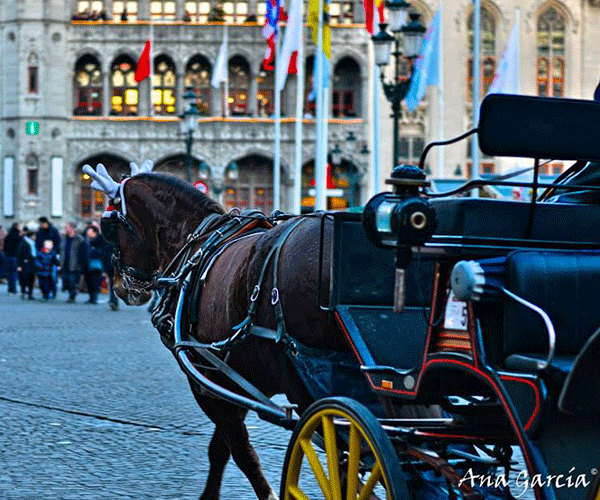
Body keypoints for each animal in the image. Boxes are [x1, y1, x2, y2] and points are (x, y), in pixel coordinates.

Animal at [83, 165, 436, 500]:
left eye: (109, 226)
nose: (120, 287)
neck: (194, 241)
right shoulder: (236, 382)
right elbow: (221, 449)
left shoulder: (207, 380)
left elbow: (239, 451)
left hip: (302, 382)